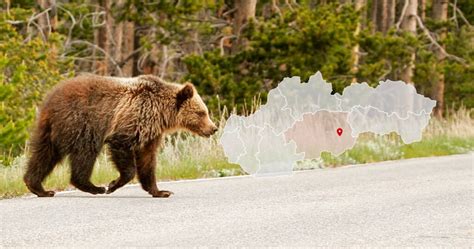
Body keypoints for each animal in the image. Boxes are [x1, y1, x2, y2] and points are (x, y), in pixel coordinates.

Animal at [24, 74, 218, 196]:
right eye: (202, 113)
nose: (213, 128)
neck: (161, 114)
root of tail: (50, 99)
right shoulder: (134, 118)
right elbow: (122, 147)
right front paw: (113, 184)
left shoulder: (151, 134)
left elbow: (148, 160)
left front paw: (160, 191)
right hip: (81, 124)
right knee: (84, 154)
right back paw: (94, 187)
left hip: (50, 130)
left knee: (44, 155)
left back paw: (38, 187)